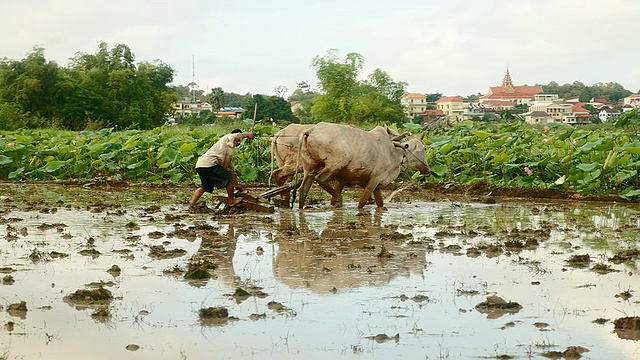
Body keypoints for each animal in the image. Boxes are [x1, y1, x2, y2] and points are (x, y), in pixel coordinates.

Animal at [296, 123, 430, 210]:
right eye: (424, 148)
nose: (427, 169)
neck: (396, 152)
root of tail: (311, 130)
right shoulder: (375, 178)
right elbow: (362, 201)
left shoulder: (375, 182)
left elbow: (380, 203)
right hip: (336, 164)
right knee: (320, 179)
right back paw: (339, 199)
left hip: (310, 167)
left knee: (303, 189)